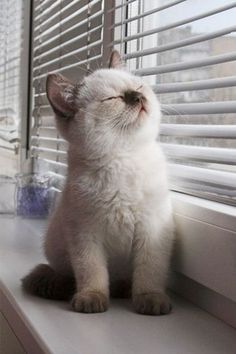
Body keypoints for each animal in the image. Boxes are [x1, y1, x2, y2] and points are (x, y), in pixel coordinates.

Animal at [22, 50, 174, 316]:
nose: (138, 97)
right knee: (71, 279)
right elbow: (92, 273)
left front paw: (150, 300)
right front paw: (91, 300)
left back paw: (125, 289)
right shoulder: (85, 234)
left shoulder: (152, 229)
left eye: (137, 87)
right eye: (114, 98)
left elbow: (149, 274)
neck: (124, 157)